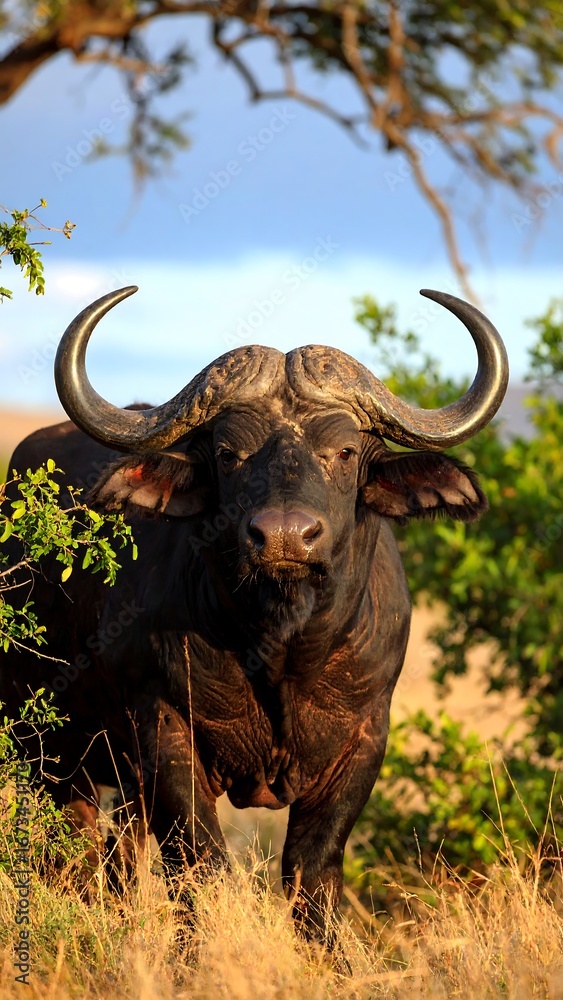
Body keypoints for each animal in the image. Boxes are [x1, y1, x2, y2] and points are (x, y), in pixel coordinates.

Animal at [1, 286, 508, 943]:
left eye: (345, 451)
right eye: (228, 453)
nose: (286, 537)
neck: (281, 648)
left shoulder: (364, 739)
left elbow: (312, 871)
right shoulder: (164, 732)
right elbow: (200, 863)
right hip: (48, 748)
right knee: (75, 849)